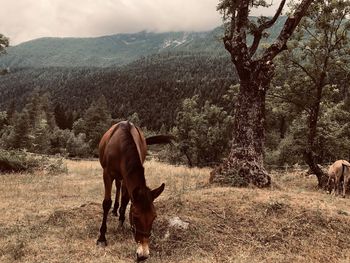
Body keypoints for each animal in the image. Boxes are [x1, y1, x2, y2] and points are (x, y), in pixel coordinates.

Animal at [96, 121, 173, 262]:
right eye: (136, 216)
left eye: (154, 217)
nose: (143, 255)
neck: (121, 146)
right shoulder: (107, 174)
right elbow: (106, 203)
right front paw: (102, 238)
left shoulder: (127, 176)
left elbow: (126, 200)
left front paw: (121, 222)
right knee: (117, 187)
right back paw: (114, 210)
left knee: (120, 188)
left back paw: (118, 212)